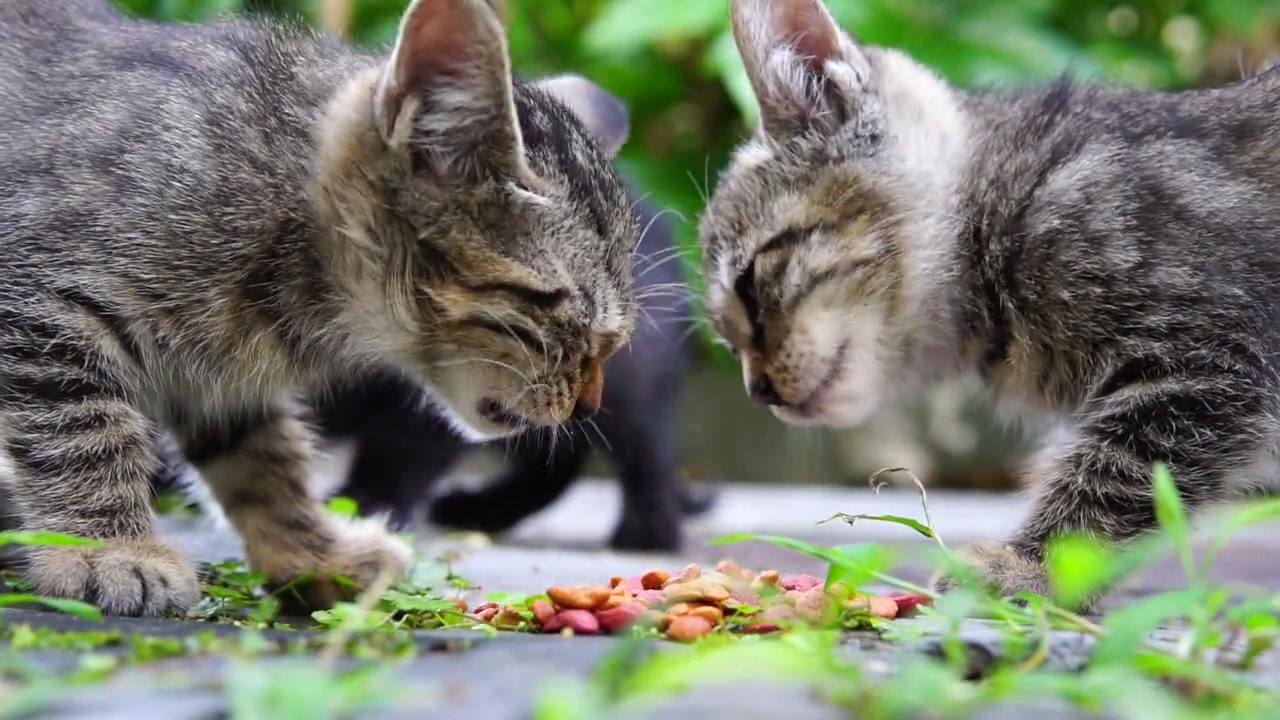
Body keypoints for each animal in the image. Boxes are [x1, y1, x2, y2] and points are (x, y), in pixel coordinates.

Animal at [0, 0, 640, 617]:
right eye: (563, 314)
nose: (589, 405)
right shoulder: (42, 297)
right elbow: (84, 427)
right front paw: (109, 550)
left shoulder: (222, 374)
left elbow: (264, 460)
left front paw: (315, 554)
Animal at [706, 0, 1280, 607]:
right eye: (727, 339)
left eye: (749, 282)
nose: (758, 390)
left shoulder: (1208, 358)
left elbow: (1119, 473)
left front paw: (1035, 568)